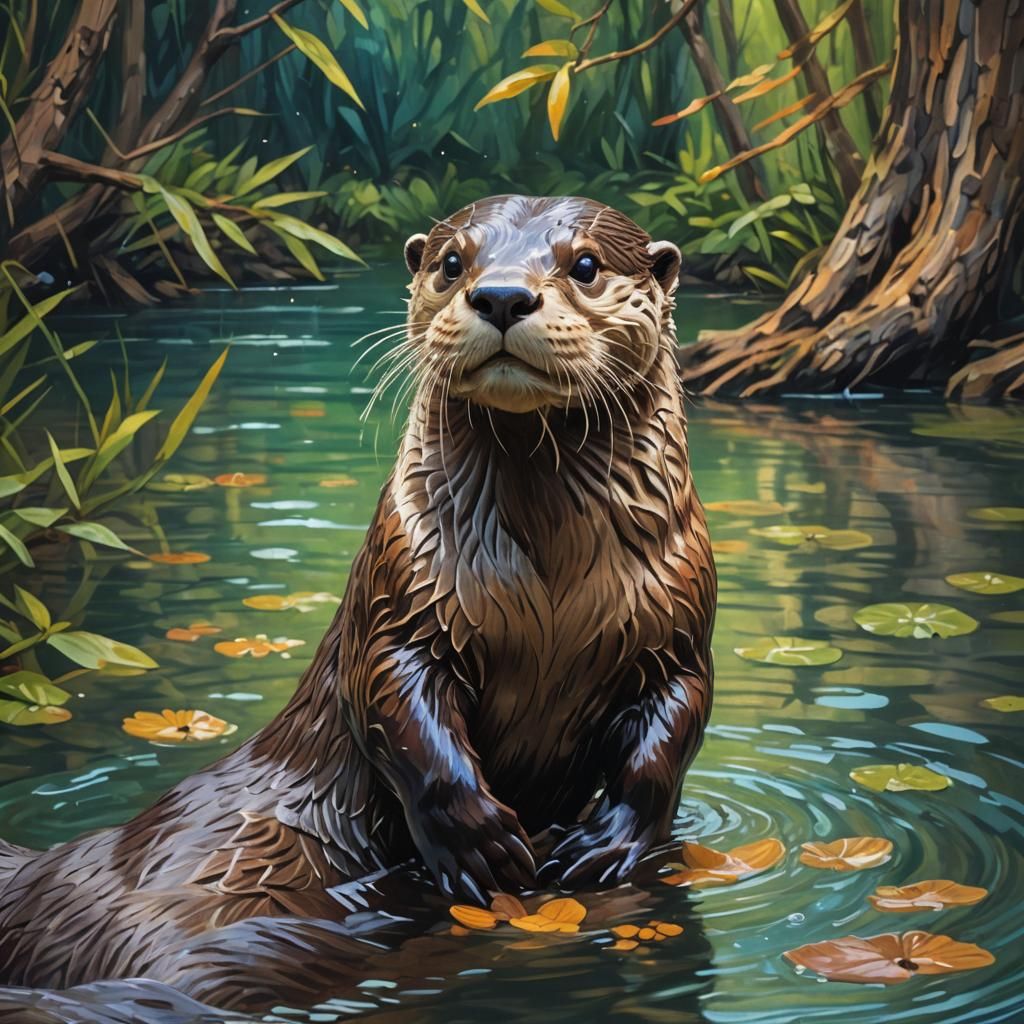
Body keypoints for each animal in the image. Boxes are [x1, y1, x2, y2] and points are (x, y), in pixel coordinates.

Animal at [0, 195, 715, 1007]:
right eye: (452, 262)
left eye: (587, 264)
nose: (502, 295)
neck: (552, 586)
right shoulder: (404, 597)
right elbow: (392, 703)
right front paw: (478, 839)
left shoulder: (677, 619)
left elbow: (674, 723)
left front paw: (609, 840)